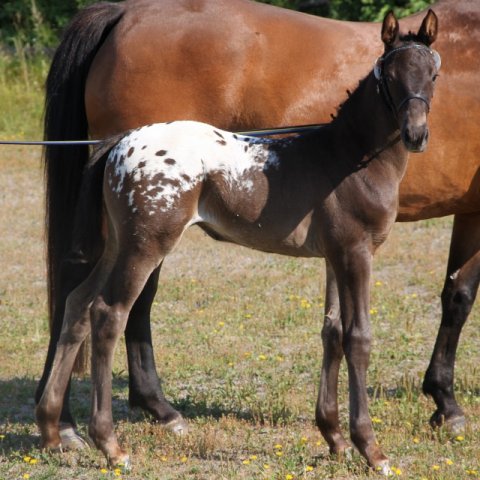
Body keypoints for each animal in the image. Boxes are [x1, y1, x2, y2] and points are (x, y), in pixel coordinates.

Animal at [38, 0, 480, 446]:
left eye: (434, 74)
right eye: (388, 75)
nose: (416, 135)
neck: (344, 155)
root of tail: (123, 142)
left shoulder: (335, 255)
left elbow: (333, 331)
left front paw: (335, 435)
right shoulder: (358, 252)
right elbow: (368, 333)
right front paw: (389, 435)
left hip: (120, 242)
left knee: (79, 301)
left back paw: (60, 425)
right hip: (145, 243)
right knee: (109, 310)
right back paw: (98, 435)